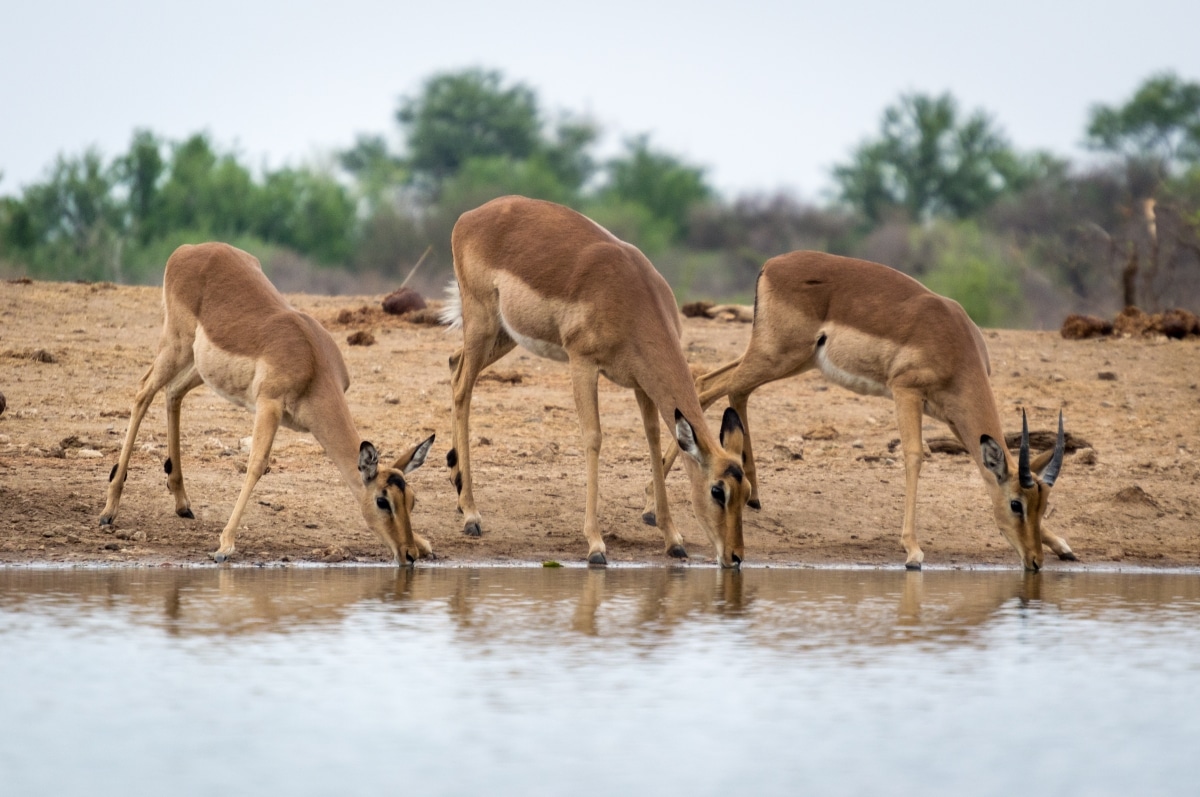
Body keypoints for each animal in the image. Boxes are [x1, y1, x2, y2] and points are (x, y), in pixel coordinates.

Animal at [98, 244, 436, 566]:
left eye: (412, 499)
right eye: (382, 500)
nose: (408, 554)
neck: (314, 364)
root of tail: (187, 250)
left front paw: (424, 543)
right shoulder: (268, 405)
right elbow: (257, 464)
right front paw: (225, 546)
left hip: (198, 367)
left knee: (173, 393)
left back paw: (182, 503)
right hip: (175, 347)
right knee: (143, 392)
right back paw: (109, 510)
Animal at [441, 193, 748, 566]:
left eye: (747, 492)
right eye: (717, 490)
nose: (735, 556)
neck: (633, 298)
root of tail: (470, 215)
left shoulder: (641, 383)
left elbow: (653, 439)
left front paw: (673, 539)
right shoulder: (583, 363)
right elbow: (593, 438)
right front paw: (596, 544)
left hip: (504, 335)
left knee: (454, 365)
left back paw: (458, 491)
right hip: (482, 325)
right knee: (462, 389)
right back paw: (471, 515)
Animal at [648, 252, 1080, 568]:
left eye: (1043, 505)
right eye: (1016, 504)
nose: (1035, 562)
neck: (956, 343)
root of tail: (772, 264)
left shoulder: (953, 416)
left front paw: (1062, 545)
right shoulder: (906, 392)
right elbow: (914, 455)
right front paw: (913, 550)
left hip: (791, 361)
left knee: (721, 387)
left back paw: (742, 497)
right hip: (776, 356)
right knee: (713, 387)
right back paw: (658, 508)